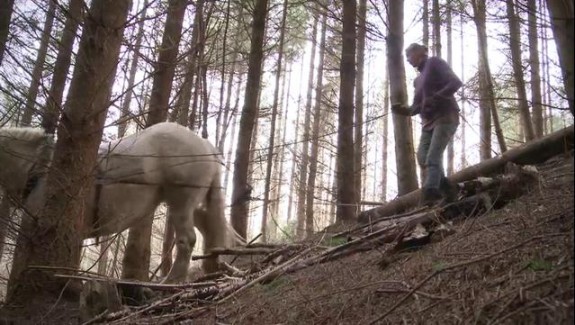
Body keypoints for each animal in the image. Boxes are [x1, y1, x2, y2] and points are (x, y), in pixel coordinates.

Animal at [0, 121, 236, 280]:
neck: (40, 166)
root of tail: (206, 145)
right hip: (194, 204)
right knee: (210, 230)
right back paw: (212, 269)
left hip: (181, 200)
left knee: (187, 240)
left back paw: (170, 282)